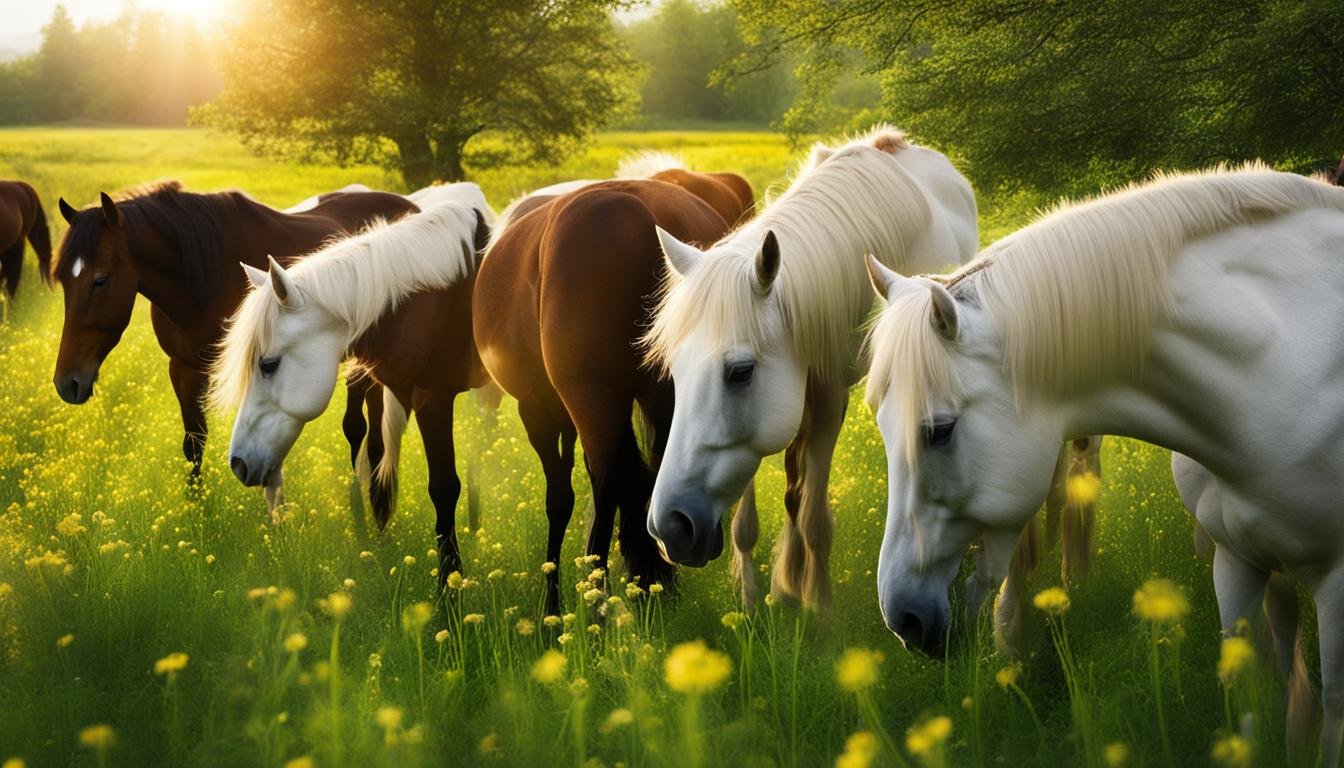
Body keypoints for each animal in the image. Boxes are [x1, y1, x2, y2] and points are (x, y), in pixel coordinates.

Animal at [52, 182, 417, 511]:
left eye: (100, 280)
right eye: (63, 280)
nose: (67, 383)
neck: (207, 278)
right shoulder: (182, 367)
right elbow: (194, 442)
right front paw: (196, 512)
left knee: (367, 432)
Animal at [210, 200, 490, 583]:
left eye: (268, 364)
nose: (238, 464)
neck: (441, 300)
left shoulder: (433, 399)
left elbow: (444, 487)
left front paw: (450, 584)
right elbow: (376, 454)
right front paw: (378, 537)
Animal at [475, 171, 749, 615]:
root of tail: (644, 215)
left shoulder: (541, 410)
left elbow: (562, 498)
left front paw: (555, 602)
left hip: (592, 402)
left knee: (607, 489)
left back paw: (596, 600)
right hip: (664, 401)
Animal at [641, 126, 977, 610]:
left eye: (740, 372)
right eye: (675, 372)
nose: (670, 527)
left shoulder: (827, 401)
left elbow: (813, 515)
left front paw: (817, 607)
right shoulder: (762, 426)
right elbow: (753, 513)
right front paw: (751, 600)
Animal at [863, 163, 1344, 764]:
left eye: (939, 431)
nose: (902, 618)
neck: (1282, 361)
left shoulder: (1337, 583)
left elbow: (1334, 713)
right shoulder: (1235, 561)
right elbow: (1244, 697)